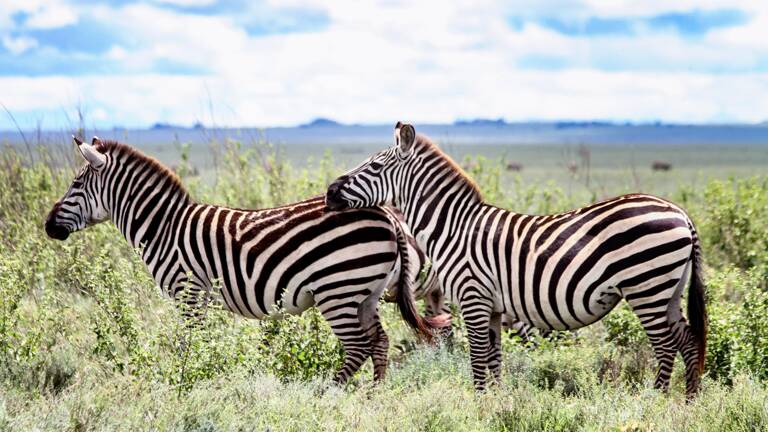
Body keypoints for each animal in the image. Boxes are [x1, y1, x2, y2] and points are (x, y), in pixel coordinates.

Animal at [43, 136, 450, 384]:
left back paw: (327, 390)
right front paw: (206, 375)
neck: (164, 227)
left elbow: (189, 344)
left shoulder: (188, 292)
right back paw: (373, 394)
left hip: (337, 290)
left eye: (76, 184)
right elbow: (204, 342)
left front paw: (190, 378)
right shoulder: (202, 297)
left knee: (359, 346)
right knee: (379, 342)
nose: (48, 226)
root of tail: (385, 213)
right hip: (364, 292)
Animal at [324, 122, 708, 398]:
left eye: (374, 165)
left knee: (665, 347)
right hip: (668, 290)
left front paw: (479, 405)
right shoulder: (492, 307)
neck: (453, 228)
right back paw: (687, 404)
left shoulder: (473, 297)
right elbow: (494, 359)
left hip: (647, 287)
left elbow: (477, 358)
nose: (329, 192)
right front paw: (496, 404)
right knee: (688, 341)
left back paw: (655, 401)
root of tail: (680, 213)